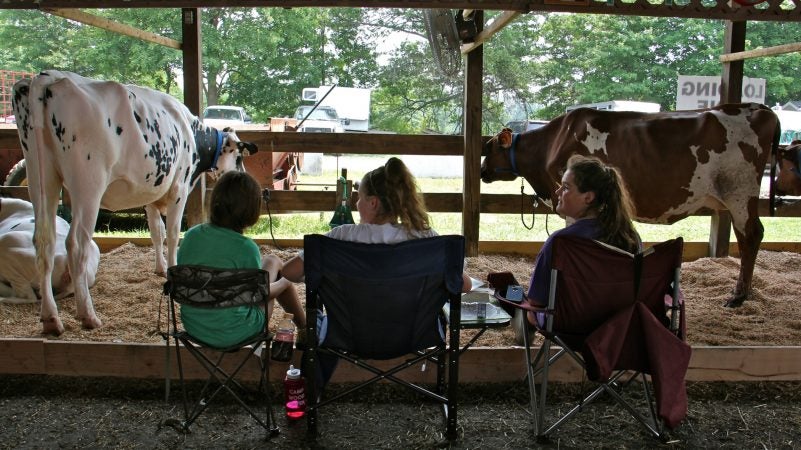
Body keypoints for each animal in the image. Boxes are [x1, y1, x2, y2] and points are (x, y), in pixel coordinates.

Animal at [12, 70, 258, 336]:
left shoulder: (151, 192)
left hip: (40, 177)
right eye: (239, 156)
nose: (242, 174)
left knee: (44, 242)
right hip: (88, 185)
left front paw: (160, 268)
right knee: (76, 245)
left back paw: (51, 318)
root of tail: (48, 77)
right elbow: (173, 234)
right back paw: (88, 315)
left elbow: (156, 232)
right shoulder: (179, 189)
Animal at [478, 103, 780, 306]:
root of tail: (757, 108)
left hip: (740, 191)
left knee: (752, 234)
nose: (481, 171)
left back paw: (738, 295)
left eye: (490, 147)